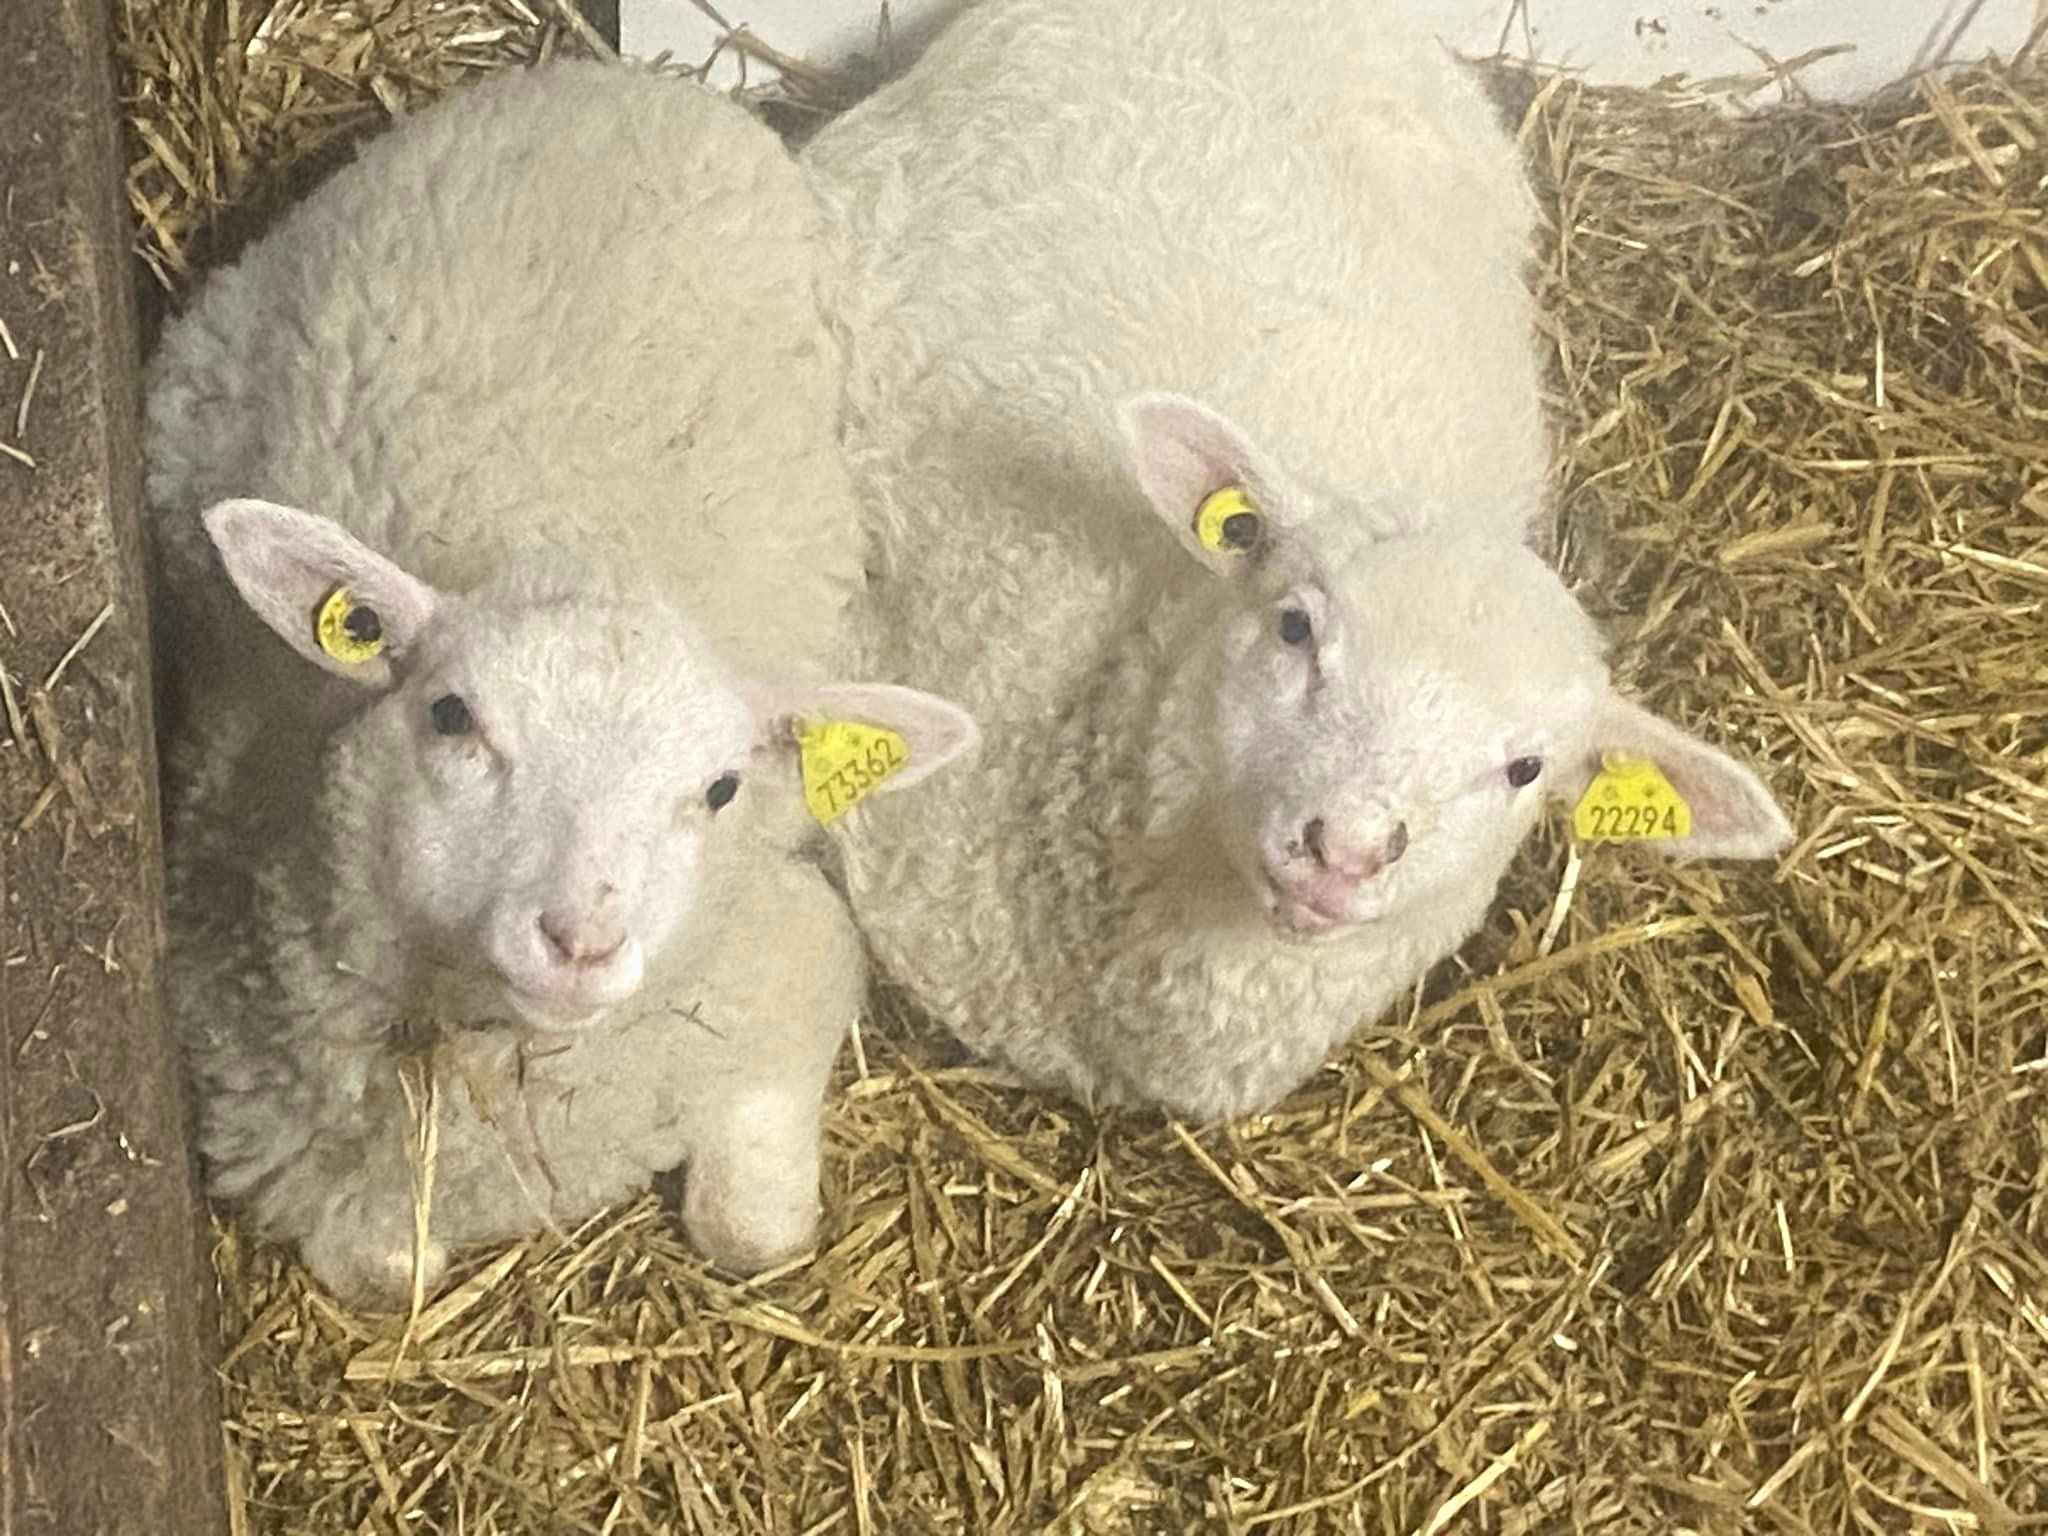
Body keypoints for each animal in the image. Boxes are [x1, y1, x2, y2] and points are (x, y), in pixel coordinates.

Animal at [146, 60, 974, 1310]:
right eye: (452, 716)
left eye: (721, 791)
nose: (579, 941)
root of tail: (627, 80)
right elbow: (390, 1269)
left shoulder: (791, 957)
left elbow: (753, 1240)